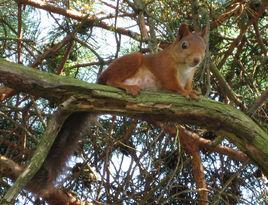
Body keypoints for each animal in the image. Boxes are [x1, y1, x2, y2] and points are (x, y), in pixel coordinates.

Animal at [29, 23, 208, 204]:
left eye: (204, 47)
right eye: (184, 45)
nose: (197, 60)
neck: (184, 68)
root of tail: (101, 78)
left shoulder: (189, 78)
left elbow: (188, 86)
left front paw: (193, 91)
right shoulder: (164, 70)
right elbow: (173, 85)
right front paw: (185, 93)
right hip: (131, 61)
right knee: (111, 81)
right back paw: (127, 86)